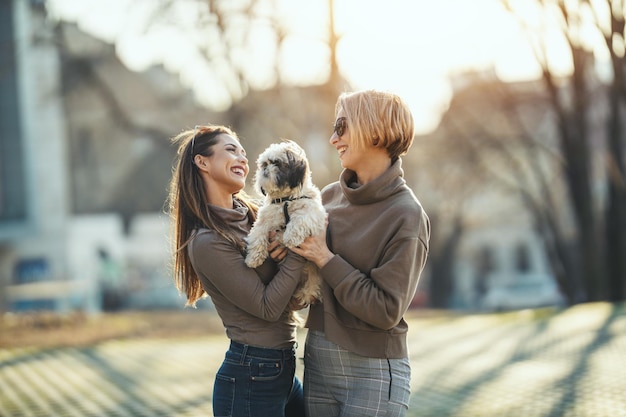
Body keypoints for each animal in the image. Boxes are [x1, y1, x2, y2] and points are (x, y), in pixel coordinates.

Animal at [243, 140, 324, 306]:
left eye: (277, 163)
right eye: (264, 164)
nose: (265, 168)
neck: (285, 200)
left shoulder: (314, 213)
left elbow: (300, 219)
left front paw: (290, 237)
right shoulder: (263, 220)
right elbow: (257, 236)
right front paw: (253, 258)